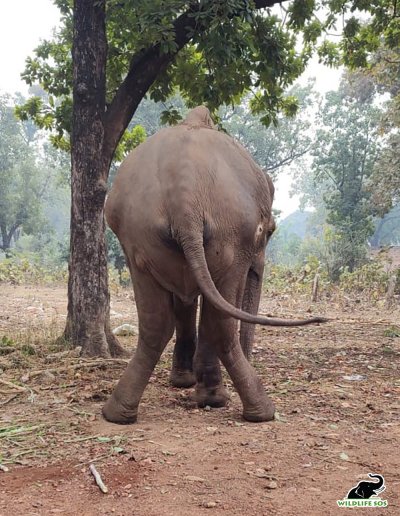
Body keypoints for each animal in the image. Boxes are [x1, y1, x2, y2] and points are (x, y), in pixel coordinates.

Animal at [101, 106, 326, 424]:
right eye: (269, 232)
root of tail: (185, 201)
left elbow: (187, 298)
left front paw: (183, 382)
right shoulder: (243, 246)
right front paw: (205, 391)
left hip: (138, 239)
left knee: (155, 324)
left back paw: (117, 413)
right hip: (227, 235)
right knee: (220, 320)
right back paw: (251, 409)